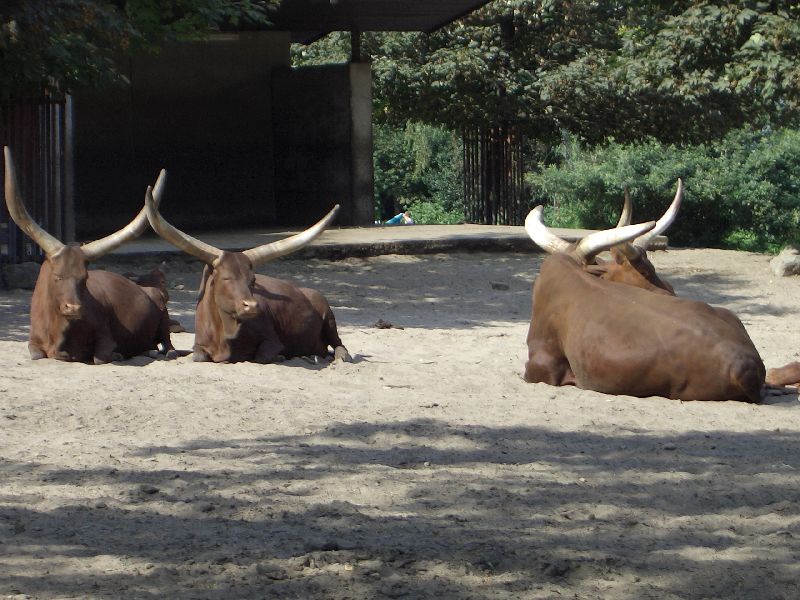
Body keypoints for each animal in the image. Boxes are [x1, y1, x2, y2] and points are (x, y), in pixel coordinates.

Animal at [3, 146, 175, 360]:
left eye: (84, 279)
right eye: (57, 277)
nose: (74, 308)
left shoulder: (106, 335)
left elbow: (101, 356)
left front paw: (116, 355)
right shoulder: (33, 342)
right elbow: (36, 354)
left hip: (162, 308)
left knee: (168, 343)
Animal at [142, 188, 348, 364]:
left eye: (253, 280)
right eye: (225, 278)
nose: (252, 306)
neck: (226, 333)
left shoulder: (272, 340)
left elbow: (262, 356)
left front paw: (280, 356)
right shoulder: (199, 346)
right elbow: (198, 356)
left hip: (328, 315)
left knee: (338, 344)